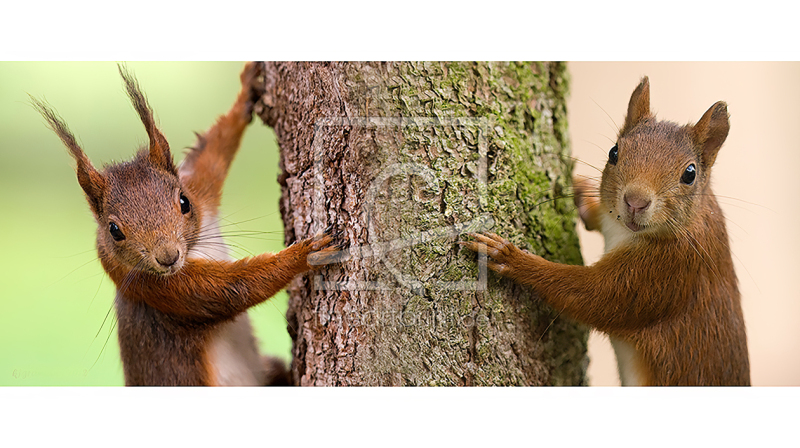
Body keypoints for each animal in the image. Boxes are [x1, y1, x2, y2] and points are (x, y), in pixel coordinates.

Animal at [30, 62, 338, 384]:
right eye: (114, 231)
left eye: (183, 202)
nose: (167, 257)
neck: (193, 247)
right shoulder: (162, 290)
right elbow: (233, 289)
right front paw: (304, 254)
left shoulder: (199, 188)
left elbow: (214, 150)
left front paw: (247, 88)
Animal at [462, 77, 752, 384]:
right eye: (614, 152)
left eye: (690, 173)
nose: (635, 201)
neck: (626, 232)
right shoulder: (611, 218)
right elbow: (595, 217)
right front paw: (578, 184)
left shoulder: (667, 272)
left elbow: (594, 298)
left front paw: (509, 256)